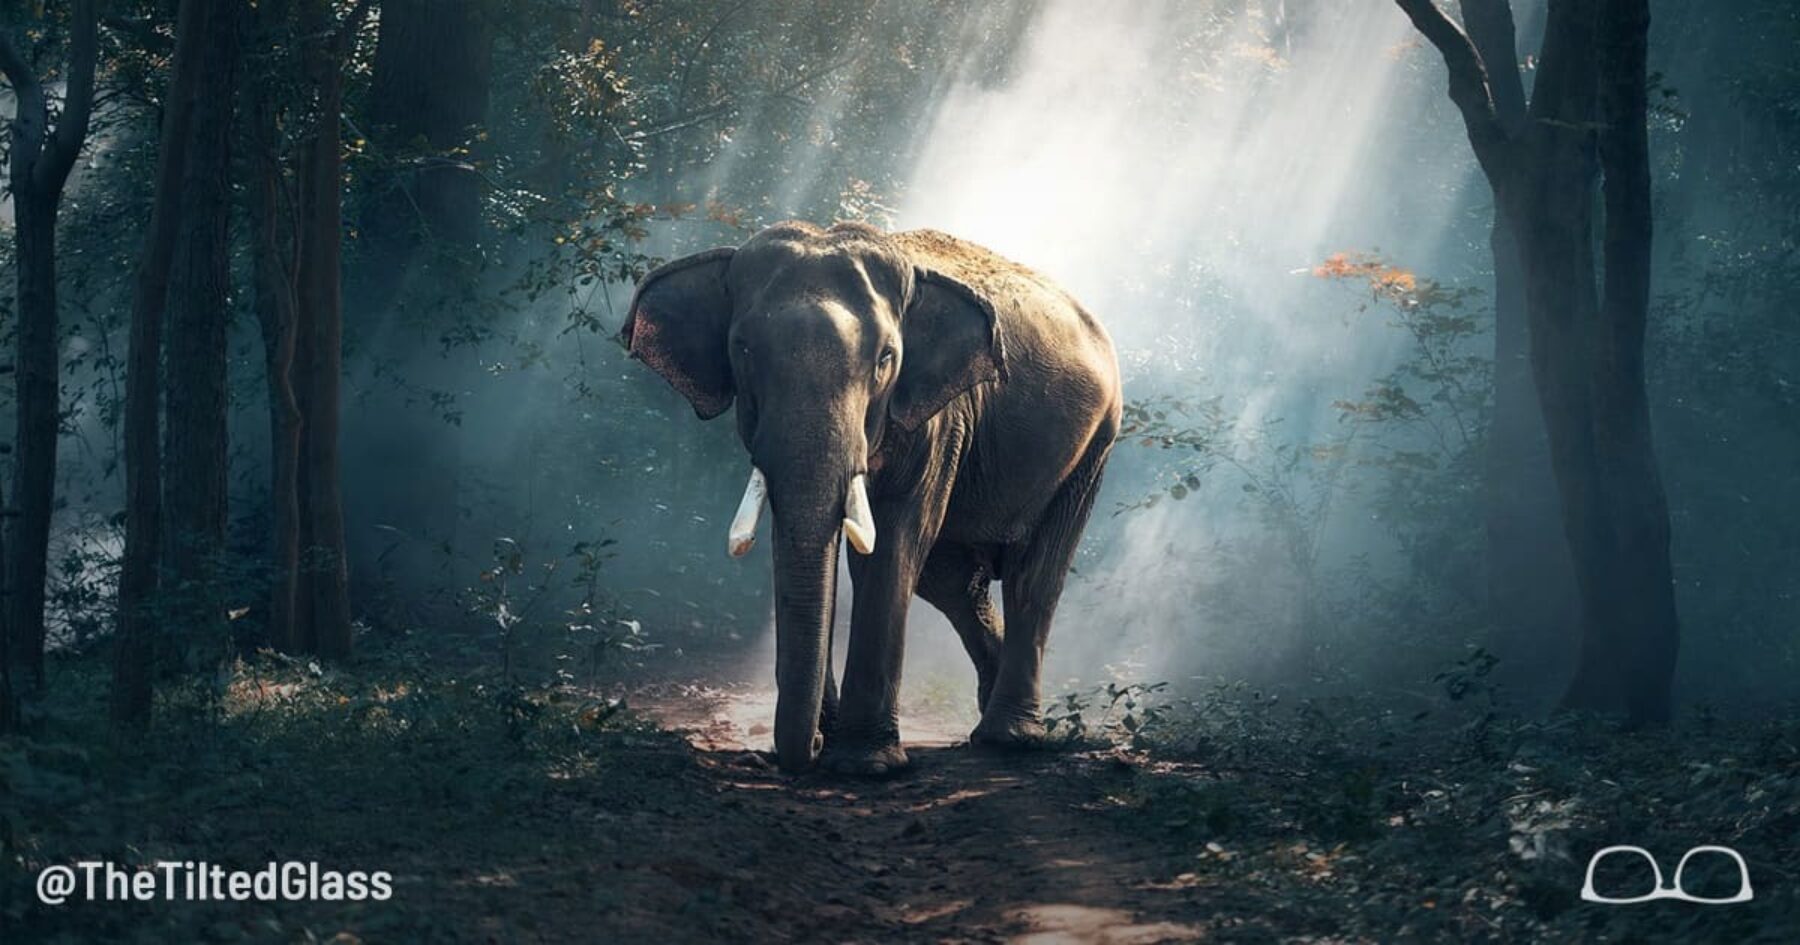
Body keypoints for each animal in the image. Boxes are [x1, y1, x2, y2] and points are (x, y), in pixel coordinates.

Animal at [621, 221, 1121, 774]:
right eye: (743, 350)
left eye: (886, 358)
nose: (811, 748)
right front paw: (833, 738)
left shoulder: (938, 418)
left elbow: (892, 545)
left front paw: (865, 764)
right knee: (953, 582)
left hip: (1094, 445)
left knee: (1034, 575)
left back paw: (1010, 738)